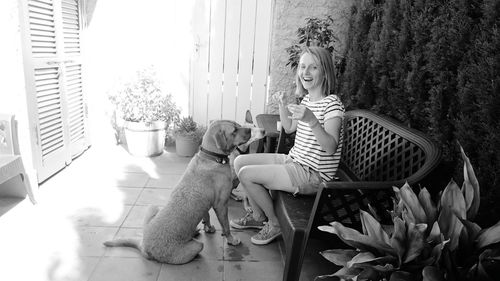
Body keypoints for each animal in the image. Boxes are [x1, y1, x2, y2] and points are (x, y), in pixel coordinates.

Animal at [102, 118, 266, 262]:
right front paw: (231, 240)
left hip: (152, 208)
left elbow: (206, 216)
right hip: (196, 246)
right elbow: (226, 227)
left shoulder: (207, 204)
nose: (260, 130)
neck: (211, 157)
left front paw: (208, 227)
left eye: (238, 125)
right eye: (234, 130)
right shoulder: (221, 205)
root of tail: (144, 246)